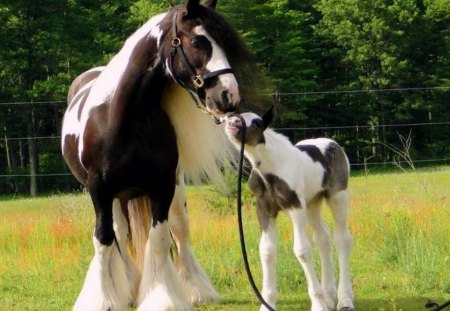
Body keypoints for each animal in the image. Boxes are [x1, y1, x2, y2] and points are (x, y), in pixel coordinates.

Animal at [61, 1, 255, 310]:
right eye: (198, 41)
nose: (229, 95)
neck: (125, 117)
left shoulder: (162, 187)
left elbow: (161, 239)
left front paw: (162, 297)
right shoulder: (100, 190)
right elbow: (103, 238)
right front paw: (103, 300)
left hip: (172, 188)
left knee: (180, 230)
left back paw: (195, 290)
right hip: (118, 196)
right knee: (119, 232)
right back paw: (127, 288)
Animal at [225, 108, 356, 311]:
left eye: (257, 122)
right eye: (237, 116)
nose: (232, 123)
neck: (270, 169)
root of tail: (333, 143)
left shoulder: (295, 206)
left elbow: (302, 250)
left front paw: (318, 304)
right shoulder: (264, 208)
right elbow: (267, 250)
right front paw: (267, 304)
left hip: (337, 196)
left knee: (342, 238)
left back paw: (345, 300)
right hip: (312, 203)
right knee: (322, 237)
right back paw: (329, 296)